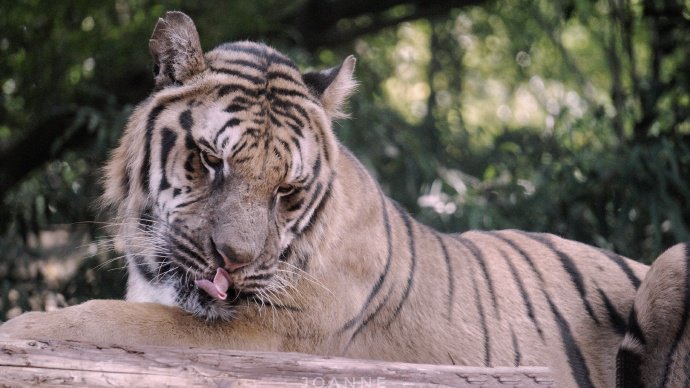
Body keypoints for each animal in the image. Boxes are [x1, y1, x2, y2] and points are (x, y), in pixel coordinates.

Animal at [1, 10, 688, 386]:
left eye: (287, 190)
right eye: (211, 161)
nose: (234, 264)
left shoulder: (263, 338)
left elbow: (108, 322)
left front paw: (22, 330)